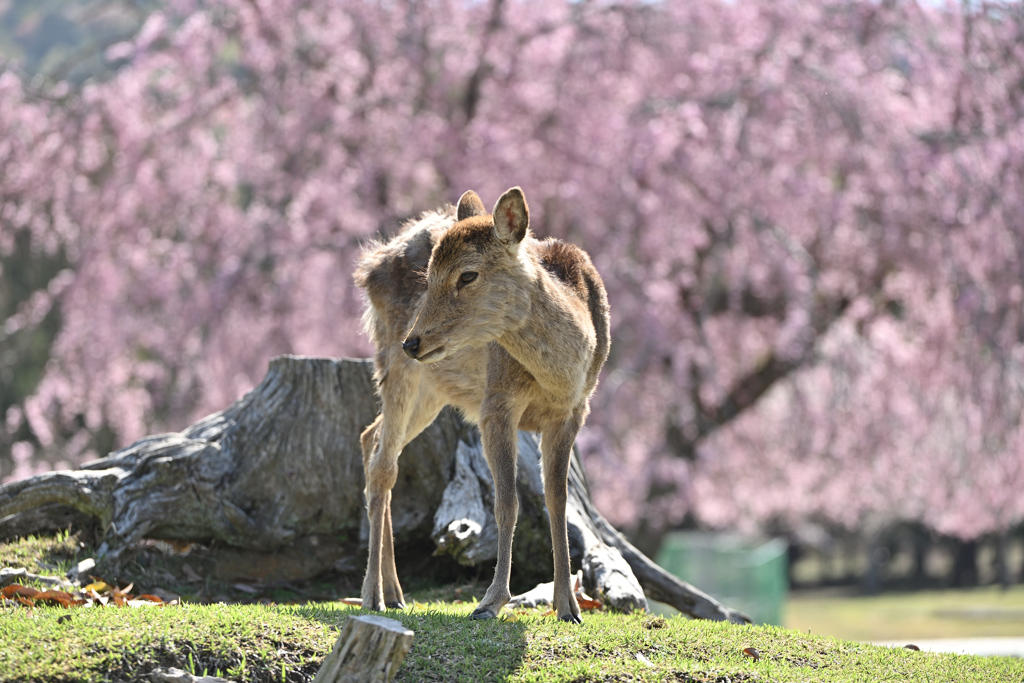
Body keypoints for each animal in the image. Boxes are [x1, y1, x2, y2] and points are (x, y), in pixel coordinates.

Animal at [354, 187, 606, 626]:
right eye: (428, 276)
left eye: (468, 275)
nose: (413, 341)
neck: (561, 375)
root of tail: (370, 262)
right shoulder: (496, 403)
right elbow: (507, 503)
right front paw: (490, 601)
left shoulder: (574, 411)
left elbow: (557, 500)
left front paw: (568, 607)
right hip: (394, 363)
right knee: (385, 464)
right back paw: (374, 596)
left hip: (434, 389)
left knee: (372, 438)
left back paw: (397, 593)